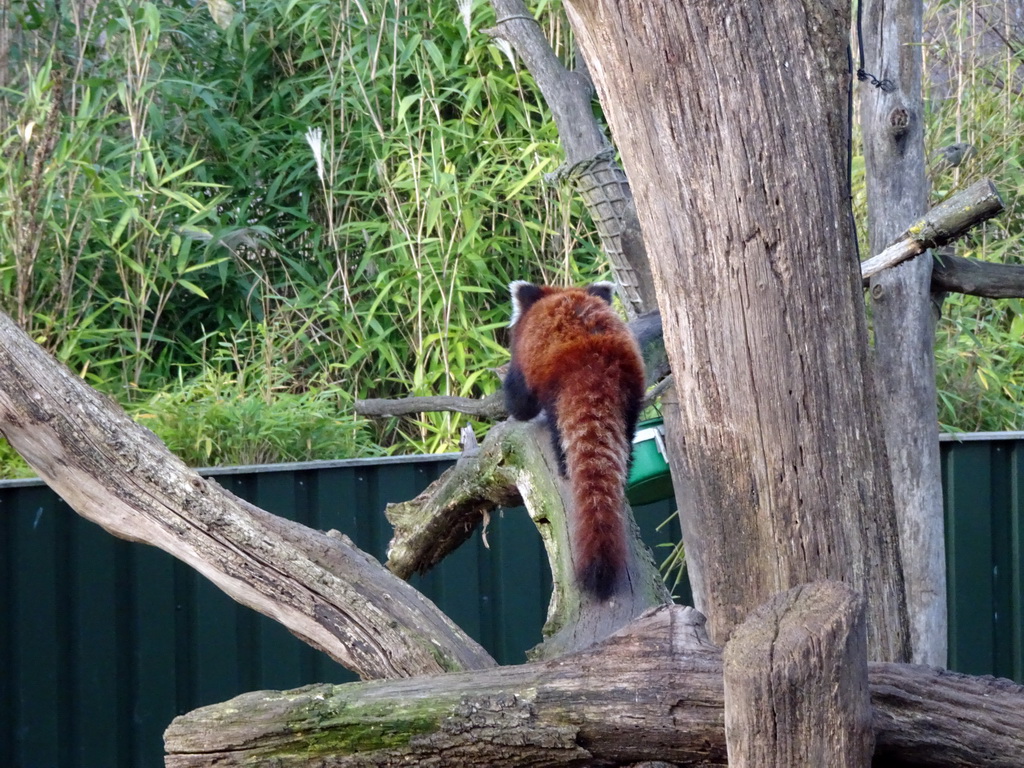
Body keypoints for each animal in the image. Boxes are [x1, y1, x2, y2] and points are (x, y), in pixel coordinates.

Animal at [505, 282, 647, 602]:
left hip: (554, 384)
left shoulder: (522, 359)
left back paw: (563, 465)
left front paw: (515, 411)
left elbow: (520, 397)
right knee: (628, 429)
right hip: (633, 388)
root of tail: (591, 359)